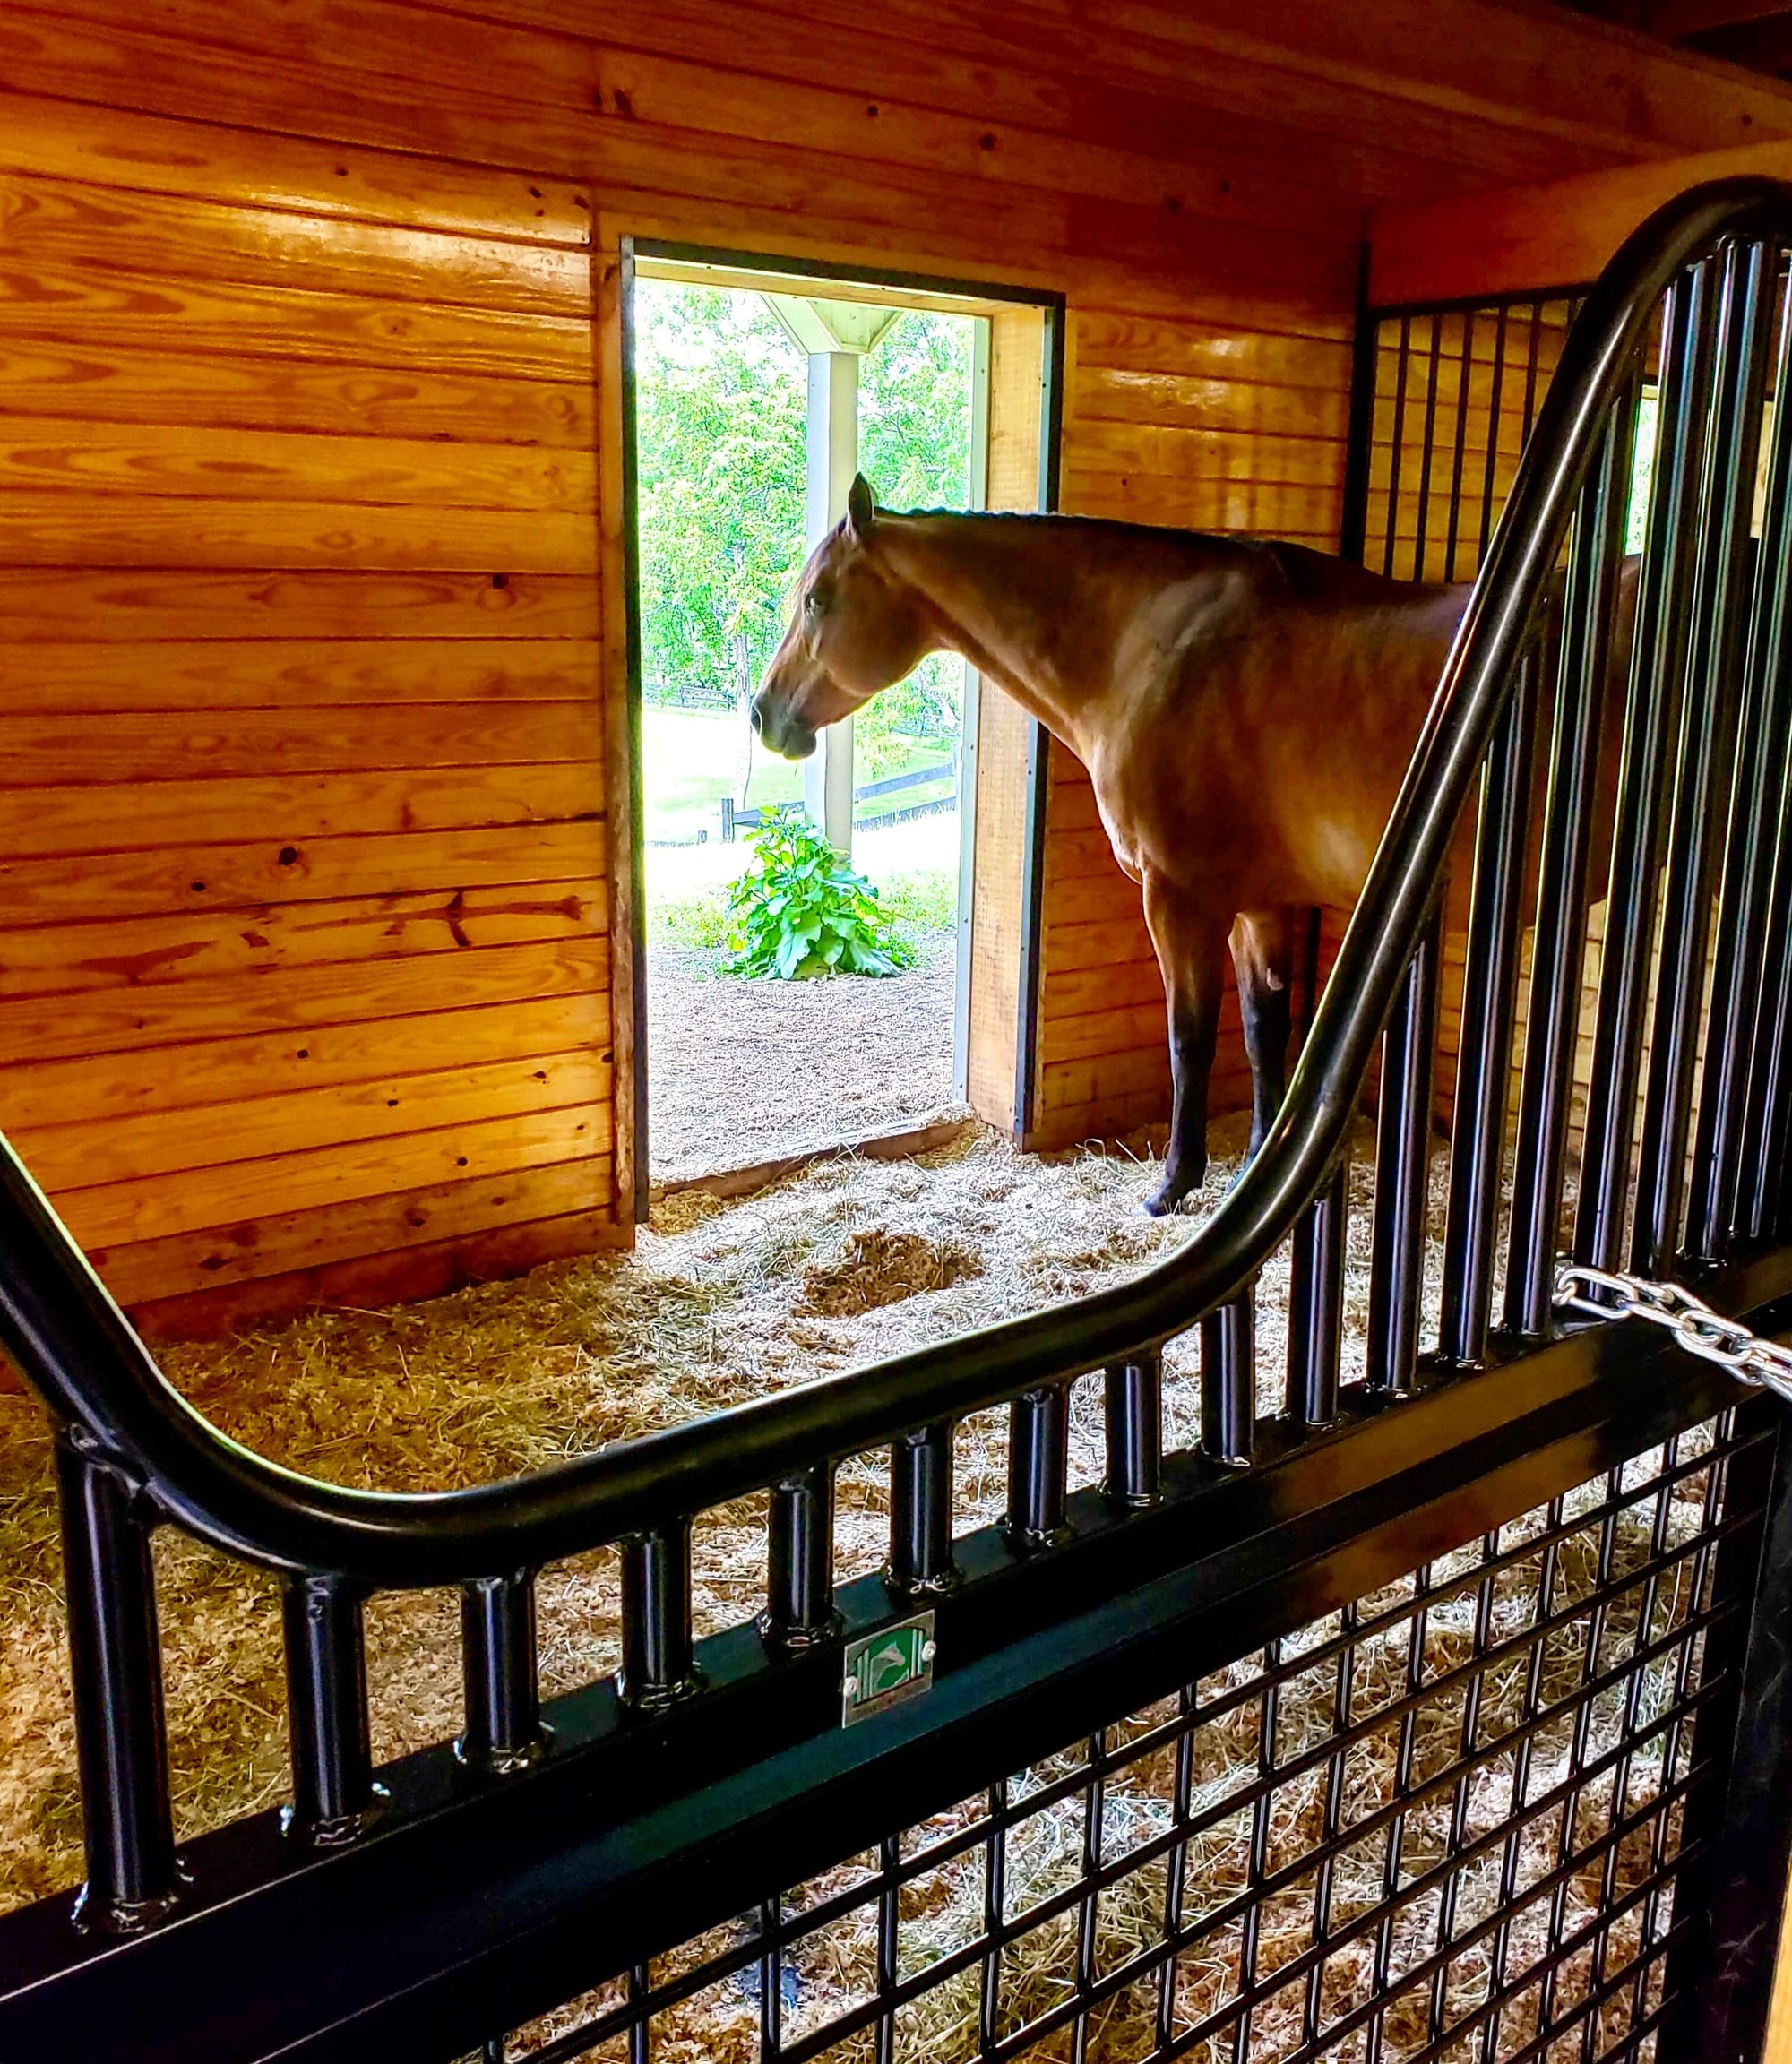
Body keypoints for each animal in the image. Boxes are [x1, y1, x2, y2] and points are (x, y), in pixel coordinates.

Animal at [747, 474, 1634, 1213]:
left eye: (818, 600)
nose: (763, 715)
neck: (1148, 649)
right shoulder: (1260, 904)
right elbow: (1264, 1030)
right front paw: (1256, 1165)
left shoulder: (1180, 898)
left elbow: (1191, 1039)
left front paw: (1174, 1184)